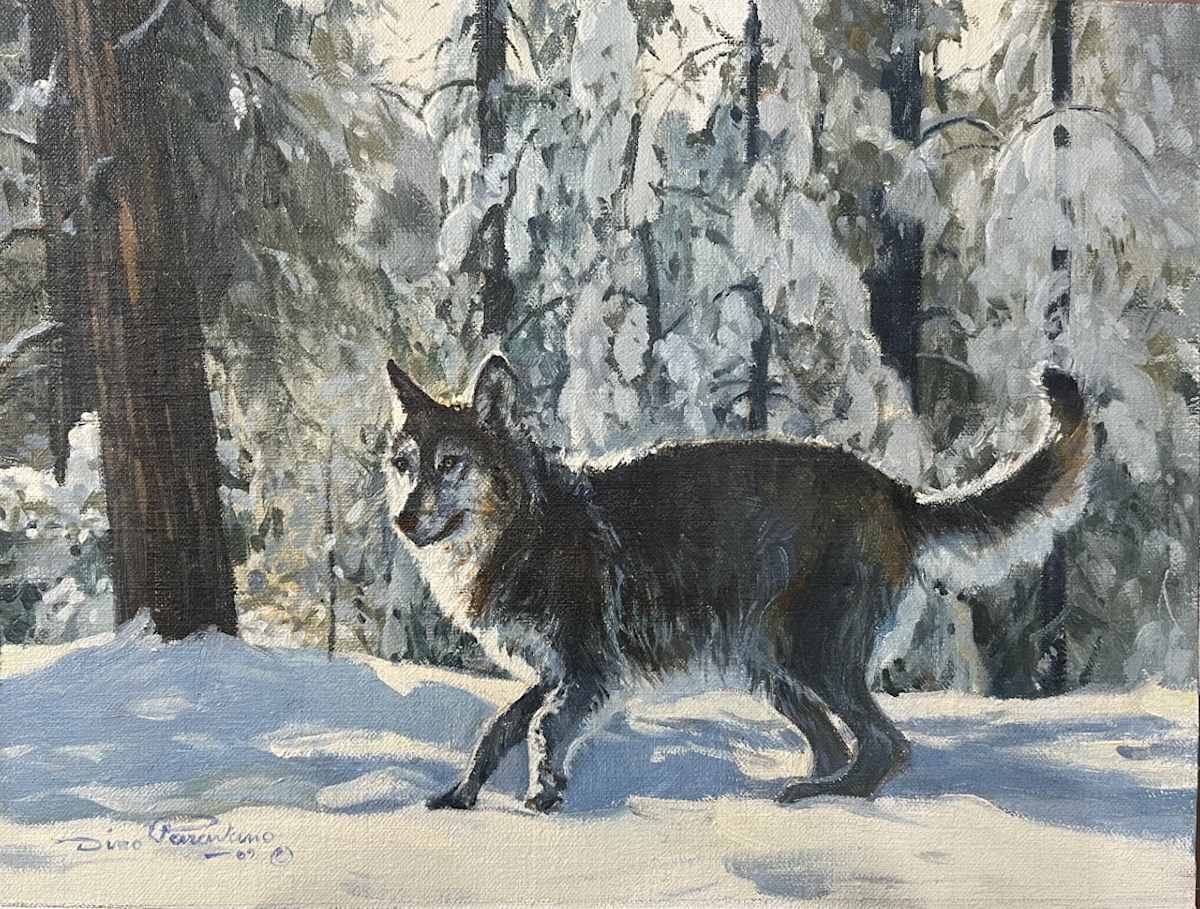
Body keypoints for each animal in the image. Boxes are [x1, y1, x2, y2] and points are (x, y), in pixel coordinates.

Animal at [384, 354, 1090, 812]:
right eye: (403, 464)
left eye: (450, 464)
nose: (402, 521)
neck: (531, 526)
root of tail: (895, 490)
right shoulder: (555, 672)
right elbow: (499, 728)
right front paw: (461, 795)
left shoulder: (588, 671)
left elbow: (541, 729)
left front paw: (542, 796)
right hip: (774, 670)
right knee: (839, 746)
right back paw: (804, 789)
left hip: (812, 658)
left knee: (886, 746)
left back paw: (823, 798)